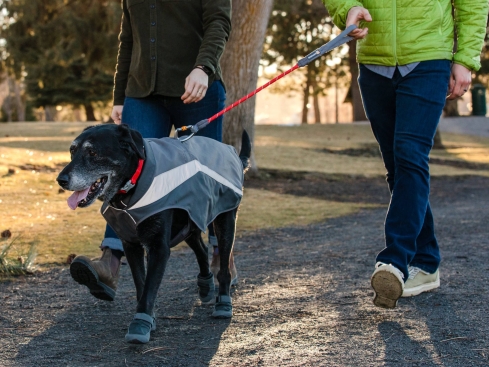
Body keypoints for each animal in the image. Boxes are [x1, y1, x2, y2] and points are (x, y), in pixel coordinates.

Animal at [55, 124, 250, 344]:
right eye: (72, 151)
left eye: (93, 153)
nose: (61, 180)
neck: (133, 183)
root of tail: (231, 151)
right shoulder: (131, 245)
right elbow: (141, 283)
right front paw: (149, 319)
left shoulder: (159, 247)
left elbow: (149, 287)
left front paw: (140, 323)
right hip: (190, 220)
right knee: (201, 248)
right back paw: (206, 285)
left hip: (224, 220)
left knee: (223, 263)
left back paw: (223, 301)